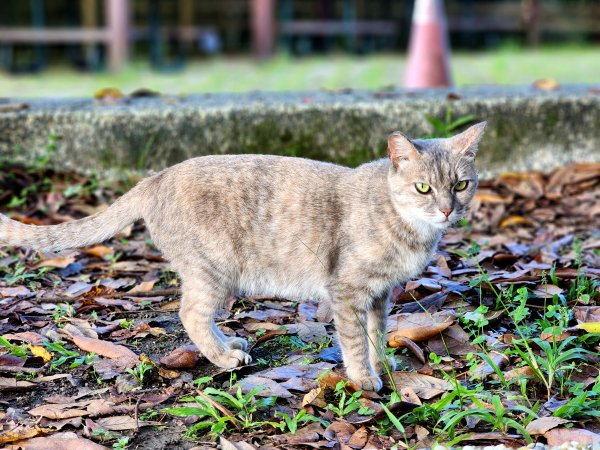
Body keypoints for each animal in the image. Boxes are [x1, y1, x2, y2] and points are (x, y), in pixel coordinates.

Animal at [0, 122, 486, 390]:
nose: (447, 209)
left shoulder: (381, 294)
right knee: (190, 313)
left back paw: (229, 344)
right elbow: (352, 339)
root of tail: (156, 177)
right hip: (214, 270)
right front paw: (364, 377)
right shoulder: (347, 291)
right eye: (423, 188)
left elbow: (377, 333)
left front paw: (382, 362)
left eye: (460, 185)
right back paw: (223, 357)